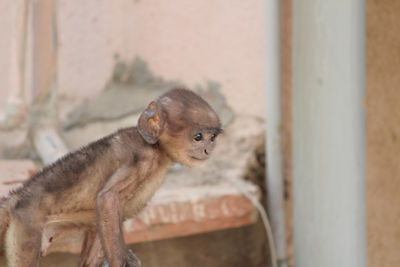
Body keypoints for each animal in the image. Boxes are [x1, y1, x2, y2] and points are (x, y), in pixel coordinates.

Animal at [0, 89, 222, 266]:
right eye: (198, 137)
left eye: (212, 138)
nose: (207, 150)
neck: (157, 147)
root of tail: (15, 197)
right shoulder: (143, 158)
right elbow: (108, 199)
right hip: (26, 222)